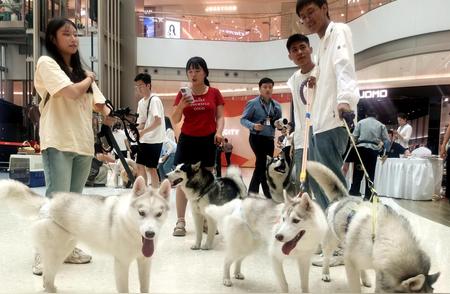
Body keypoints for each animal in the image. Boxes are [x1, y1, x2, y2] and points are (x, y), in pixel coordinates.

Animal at [0, 176, 171, 292]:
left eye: (159, 214)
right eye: (141, 213)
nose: (150, 233)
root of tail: (47, 202)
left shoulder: (145, 262)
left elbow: (145, 287)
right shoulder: (122, 264)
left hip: (66, 248)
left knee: (46, 278)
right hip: (56, 253)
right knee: (46, 278)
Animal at [306, 162, 440, 292]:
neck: (380, 239)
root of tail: (343, 198)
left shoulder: (378, 271)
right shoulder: (350, 263)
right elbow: (355, 288)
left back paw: (365, 279)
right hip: (331, 242)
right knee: (327, 257)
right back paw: (325, 273)